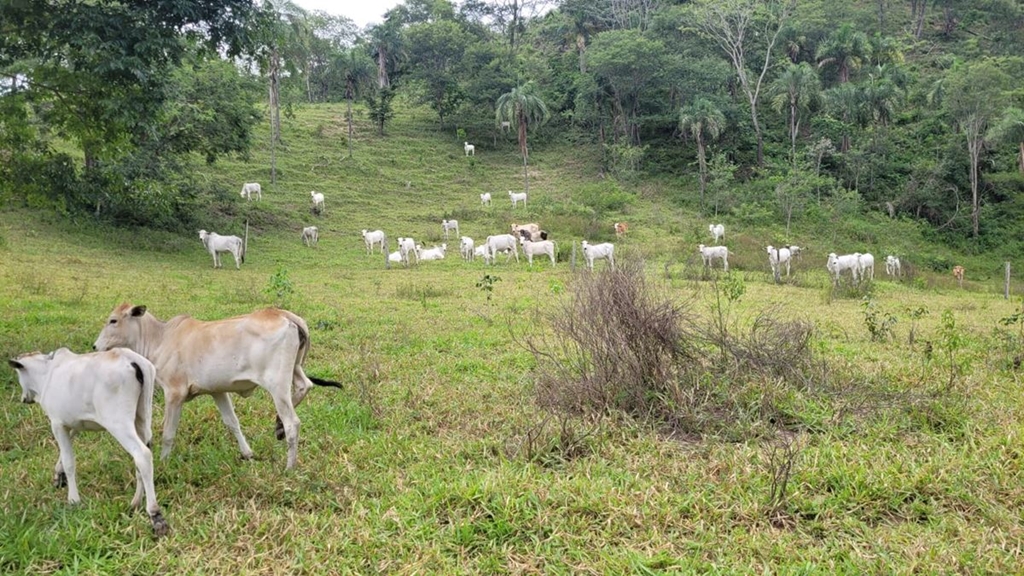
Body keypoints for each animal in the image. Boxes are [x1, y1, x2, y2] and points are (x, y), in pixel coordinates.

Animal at [8, 342, 167, 537]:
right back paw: (135, 503)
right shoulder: (72, 423)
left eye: (19, 374)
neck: (47, 373)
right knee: (144, 455)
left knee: (142, 455)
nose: (24, 398)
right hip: (142, 418)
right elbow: (64, 454)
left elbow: (69, 461)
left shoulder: (57, 423)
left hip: (118, 423)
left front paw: (73, 500)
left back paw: (154, 514)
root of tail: (130, 358)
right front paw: (58, 475)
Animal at [91, 303, 342, 469]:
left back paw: (289, 465)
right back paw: (277, 426)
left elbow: (168, 432)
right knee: (305, 386)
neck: (160, 339)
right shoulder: (218, 391)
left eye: (113, 320)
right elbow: (232, 423)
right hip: (294, 369)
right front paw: (247, 454)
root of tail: (285, 315)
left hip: (277, 384)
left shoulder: (174, 393)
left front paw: (163, 461)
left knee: (293, 422)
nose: (95, 346)